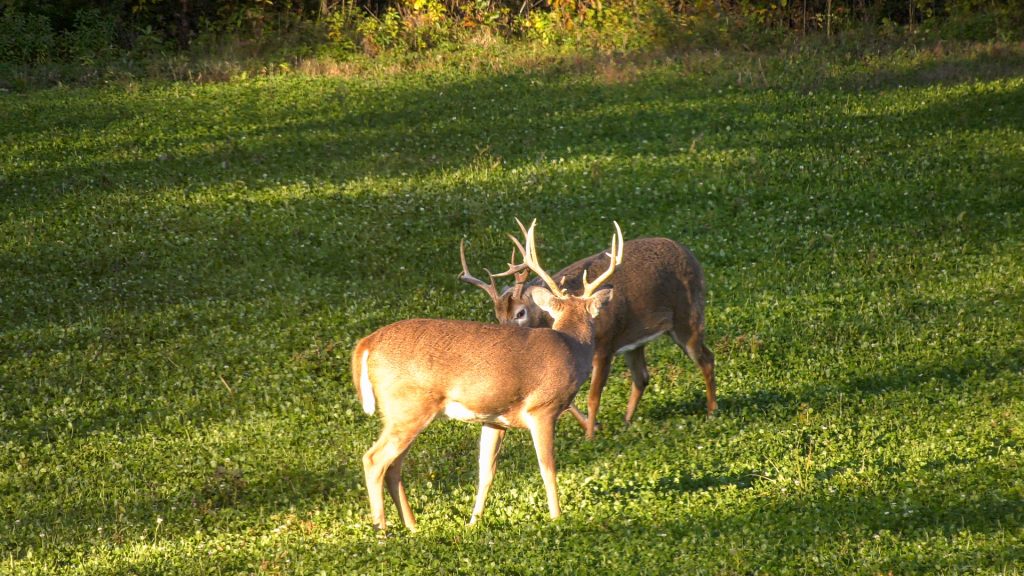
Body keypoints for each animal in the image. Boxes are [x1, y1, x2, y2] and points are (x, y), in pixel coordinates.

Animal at [352, 222, 622, 532]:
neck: (571, 346)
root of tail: (366, 344)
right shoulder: (543, 409)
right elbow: (547, 468)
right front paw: (557, 518)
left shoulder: (494, 419)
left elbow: (486, 472)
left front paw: (473, 523)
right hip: (407, 407)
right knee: (374, 460)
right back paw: (382, 531)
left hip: (402, 414)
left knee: (393, 466)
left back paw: (413, 527)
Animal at [460, 217, 716, 436]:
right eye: (497, 316)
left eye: (520, 313)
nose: (505, 337)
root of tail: (690, 255)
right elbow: (567, 397)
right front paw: (594, 427)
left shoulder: (605, 346)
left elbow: (593, 396)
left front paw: (590, 435)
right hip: (635, 339)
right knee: (642, 376)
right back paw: (627, 422)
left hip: (688, 317)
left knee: (706, 357)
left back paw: (712, 411)